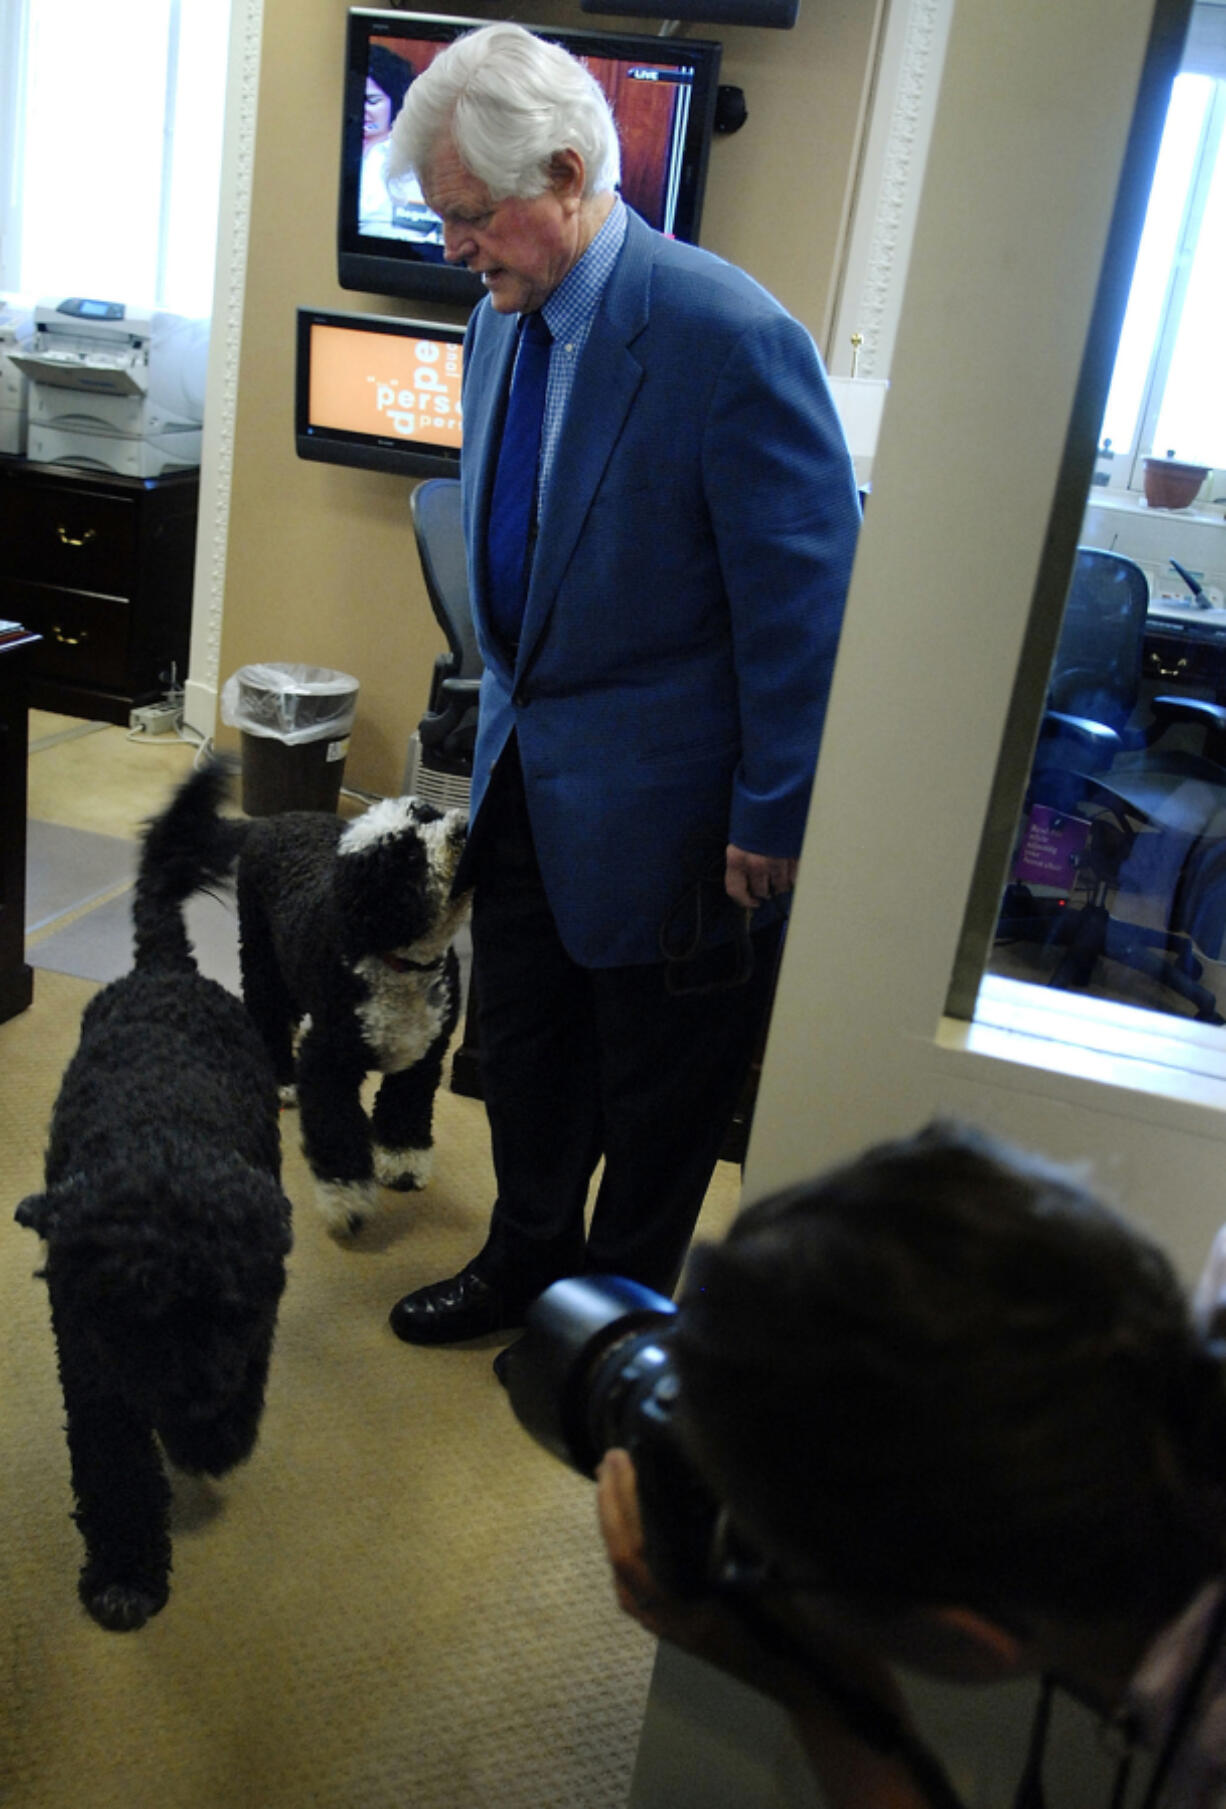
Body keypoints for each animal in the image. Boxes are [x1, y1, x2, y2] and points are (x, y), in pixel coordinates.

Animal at [16, 756, 292, 1635]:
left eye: (227, 1310)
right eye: (135, 1317)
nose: (193, 1407)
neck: (159, 1136)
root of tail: (166, 967)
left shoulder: (254, 1318)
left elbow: (248, 1374)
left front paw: (215, 1439)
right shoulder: (92, 1360)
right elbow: (116, 1470)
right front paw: (126, 1572)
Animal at [233, 795, 470, 1237]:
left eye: (427, 813)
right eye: (407, 856)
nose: (462, 827)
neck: (401, 966)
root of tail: (280, 816)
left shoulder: (424, 1055)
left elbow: (405, 1108)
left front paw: (403, 1163)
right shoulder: (328, 1061)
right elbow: (337, 1129)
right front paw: (347, 1200)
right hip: (261, 955)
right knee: (267, 1012)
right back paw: (281, 1080)